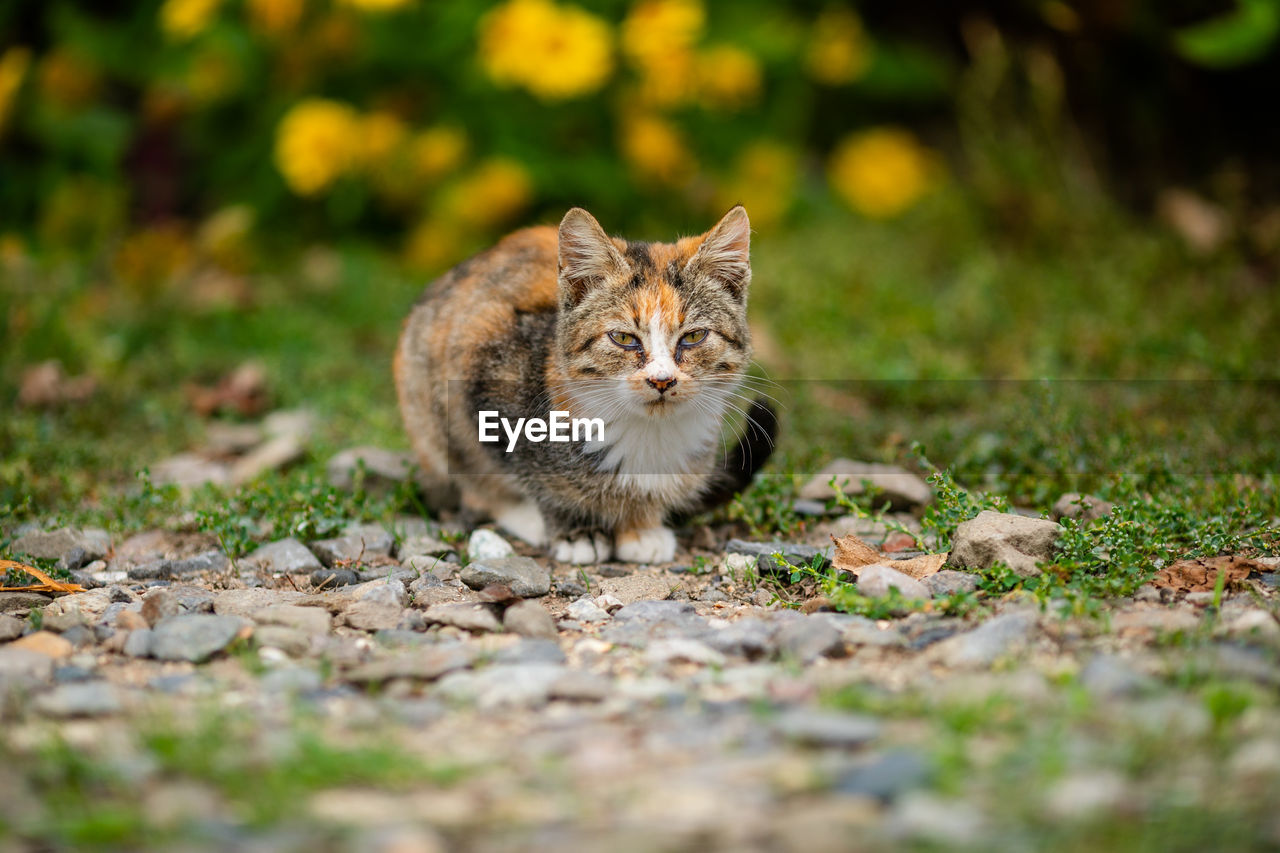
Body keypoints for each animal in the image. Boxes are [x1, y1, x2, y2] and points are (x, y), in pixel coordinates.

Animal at [391, 204, 768, 563]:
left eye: (693, 336)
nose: (662, 380)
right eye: (623, 338)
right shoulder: (480, 367)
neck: (649, 432)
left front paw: (641, 528)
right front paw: (571, 530)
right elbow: (521, 471)